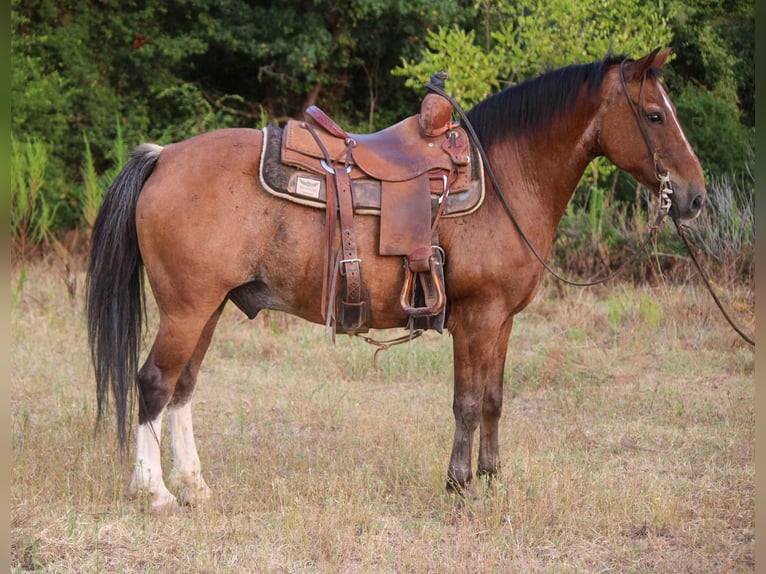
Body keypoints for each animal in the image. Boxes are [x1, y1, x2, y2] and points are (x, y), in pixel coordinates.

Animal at [85, 48, 708, 512]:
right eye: (655, 115)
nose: (696, 196)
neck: (507, 180)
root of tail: (163, 156)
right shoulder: (477, 317)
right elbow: (466, 402)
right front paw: (459, 489)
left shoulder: (502, 321)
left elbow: (494, 399)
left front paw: (493, 479)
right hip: (187, 308)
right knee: (153, 383)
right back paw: (155, 493)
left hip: (209, 307)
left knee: (183, 387)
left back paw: (194, 486)